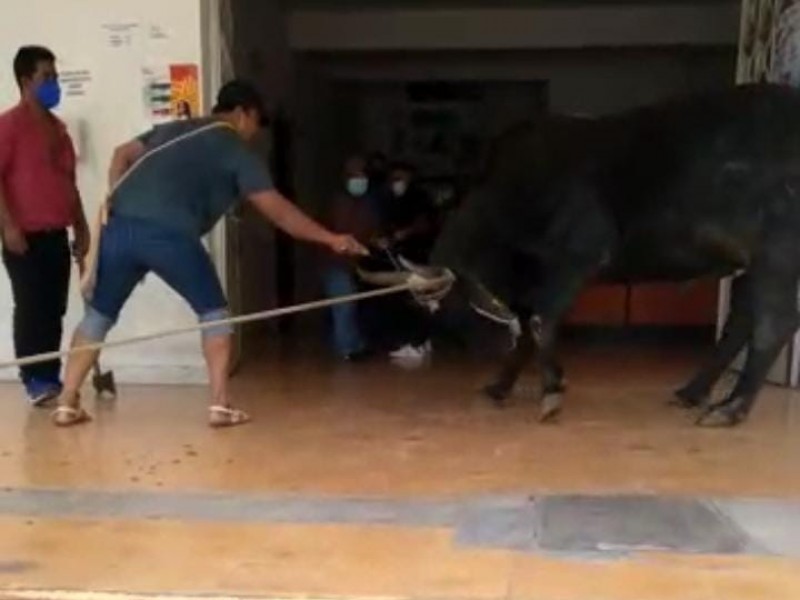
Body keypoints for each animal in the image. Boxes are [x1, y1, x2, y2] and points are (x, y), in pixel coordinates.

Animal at [360, 84, 800, 428]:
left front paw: (552, 392)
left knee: (773, 324)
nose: (485, 349)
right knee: (743, 321)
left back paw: (731, 408)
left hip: (777, 254)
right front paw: (503, 385)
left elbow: (540, 323)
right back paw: (693, 392)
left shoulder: (580, 256)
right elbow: (528, 328)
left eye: (453, 303)